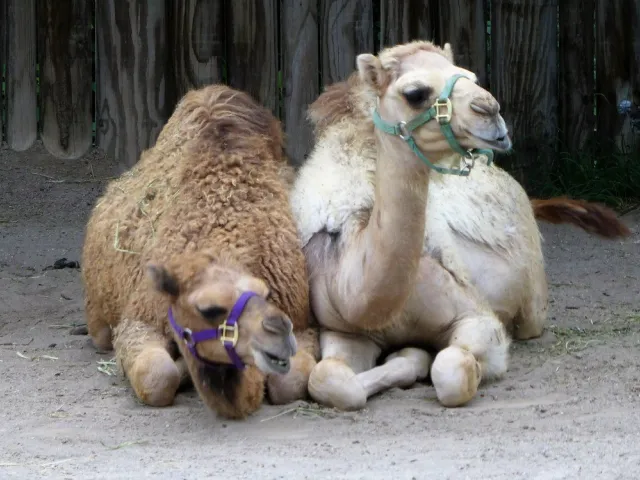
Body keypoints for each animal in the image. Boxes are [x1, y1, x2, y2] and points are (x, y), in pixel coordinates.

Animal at [81, 84, 318, 419]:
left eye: (264, 293)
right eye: (209, 309)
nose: (278, 330)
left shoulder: (303, 322)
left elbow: (289, 383)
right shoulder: (140, 319)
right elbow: (157, 376)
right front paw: (180, 371)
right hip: (100, 319)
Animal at [288, 40, 631, 411]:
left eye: (470, 76)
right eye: (415, 93)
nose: (490, 110)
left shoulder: (477, 317)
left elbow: (452, 371)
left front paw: (424, 360)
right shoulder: (342, 330)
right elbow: (328, 379)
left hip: (533, 309)